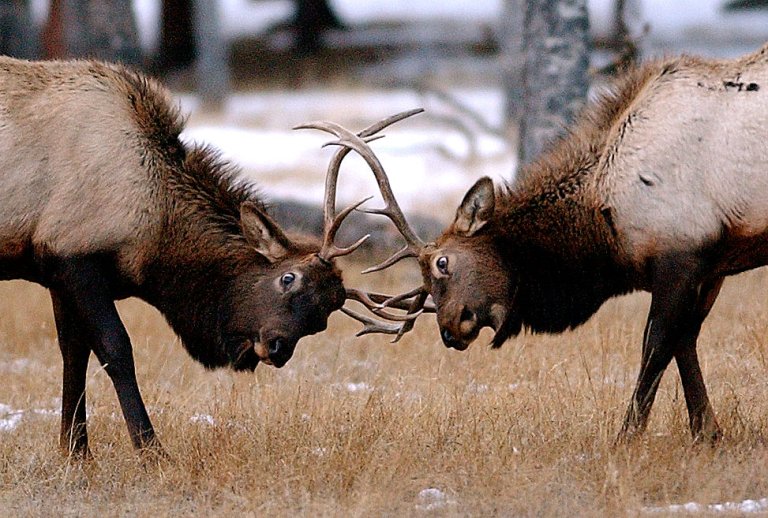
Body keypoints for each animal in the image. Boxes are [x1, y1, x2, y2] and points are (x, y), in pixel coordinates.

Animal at [0, 56, 419, 458]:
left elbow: (73, 354)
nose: (278, 348)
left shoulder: (55, 269)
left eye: (323, 318)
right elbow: (115, 349)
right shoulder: (75, 257)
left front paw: (75, 453)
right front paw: (152, 452)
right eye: (288, 278)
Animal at [306, 43, 768, 445]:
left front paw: (627, 439)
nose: (450, 330)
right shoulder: (712, 264)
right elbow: (686, 343)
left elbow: (657, 347)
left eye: (442, 263)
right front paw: (708, 433)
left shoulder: (680, 254)